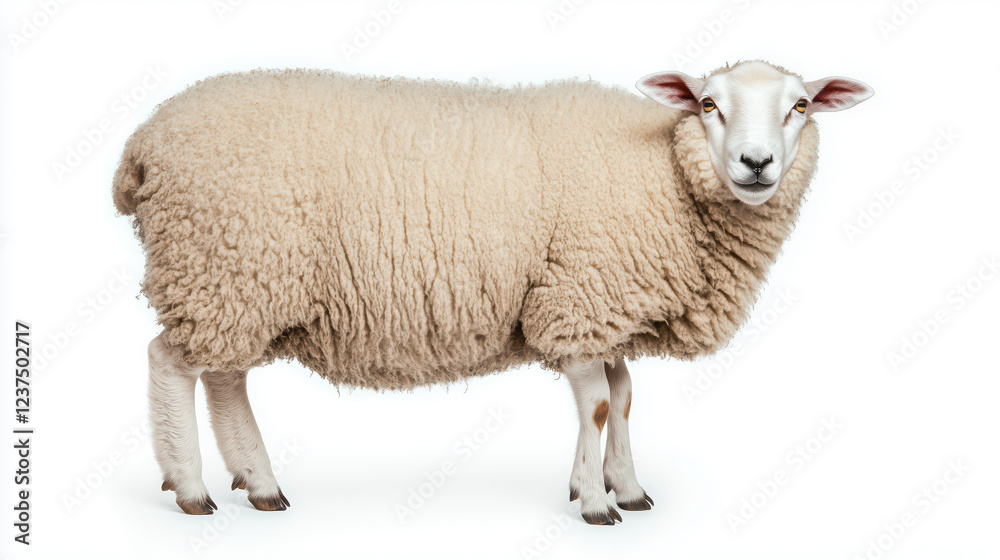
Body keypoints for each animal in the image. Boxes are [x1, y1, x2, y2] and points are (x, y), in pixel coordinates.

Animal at [113, 60, 872, 523]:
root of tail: (144, 144)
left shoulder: (603, 310)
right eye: (709, 104)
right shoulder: (578, 299)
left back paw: (260, 483)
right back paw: (191, 488)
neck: (664, 174)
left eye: (800, 106)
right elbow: (599, 406)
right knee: (169, 364)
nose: (756, 163)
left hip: (243, 284)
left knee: (225, 378)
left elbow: (623, 399)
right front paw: (595, 502)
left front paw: (624, 487)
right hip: (218, 265)